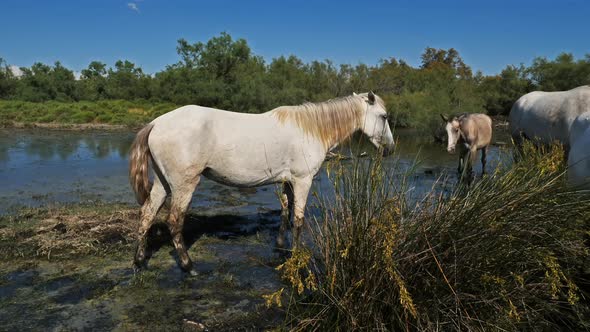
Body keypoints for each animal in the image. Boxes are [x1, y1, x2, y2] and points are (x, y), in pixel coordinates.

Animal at [130, 92, 398, 272]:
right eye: (384, 116)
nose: (390, 149)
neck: (311, 129)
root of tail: (156, 123)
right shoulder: (303, 180)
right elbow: (298, 220)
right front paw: (296, 255)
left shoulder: (287, 181)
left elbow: (285, 212)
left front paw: (280, 246)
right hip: (184, 185)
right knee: (174, 221)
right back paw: (188, 266)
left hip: (163, 183)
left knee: (147, 214)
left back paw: (140, 259)